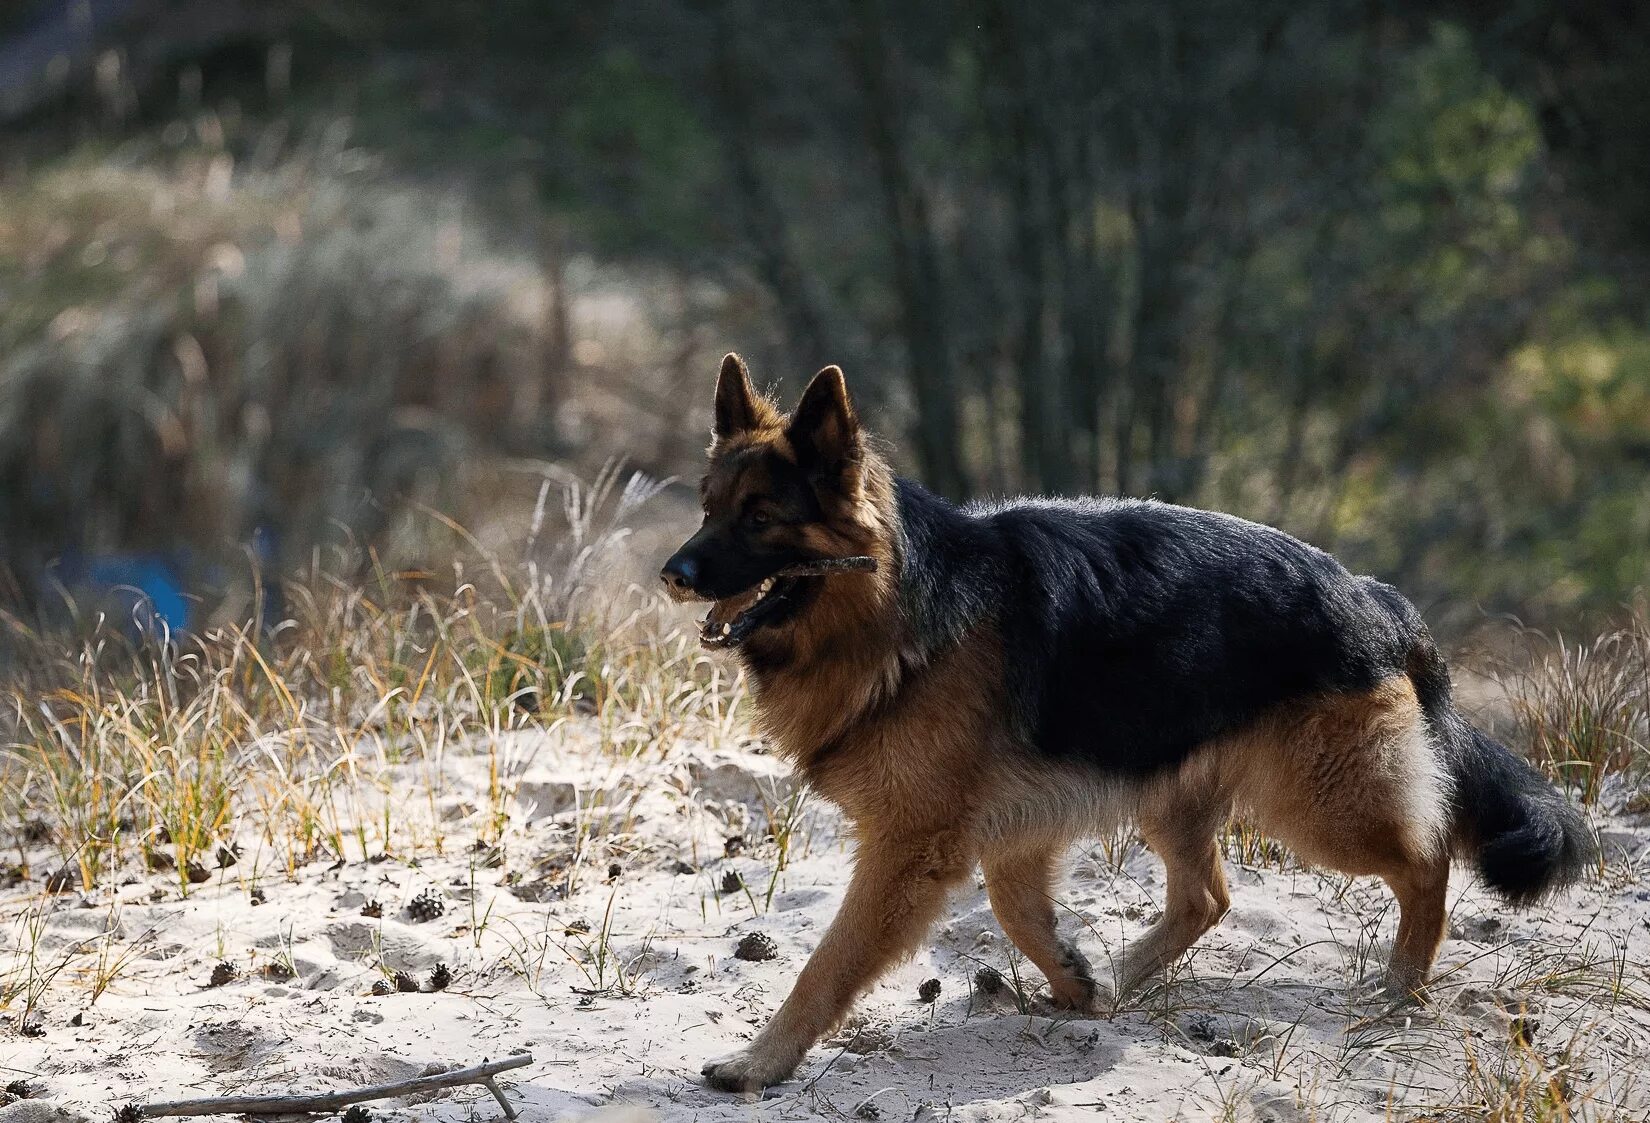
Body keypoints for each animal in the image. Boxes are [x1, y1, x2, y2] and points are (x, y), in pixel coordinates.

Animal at [663, 354, 1590, 1088]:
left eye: (759, 516)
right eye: (707, 506)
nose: (672, 572)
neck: (899, 608)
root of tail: (1378, 597)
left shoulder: (908, 847)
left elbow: (829, 963)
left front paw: (760, 1062)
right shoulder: (1011, 831)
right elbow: (1018, 911)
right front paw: (1078, 983)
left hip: (1321, 805)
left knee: (1427, 859)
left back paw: (1401, 984)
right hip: (1180, 797)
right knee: (1208, 896)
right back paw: (1123, 973)